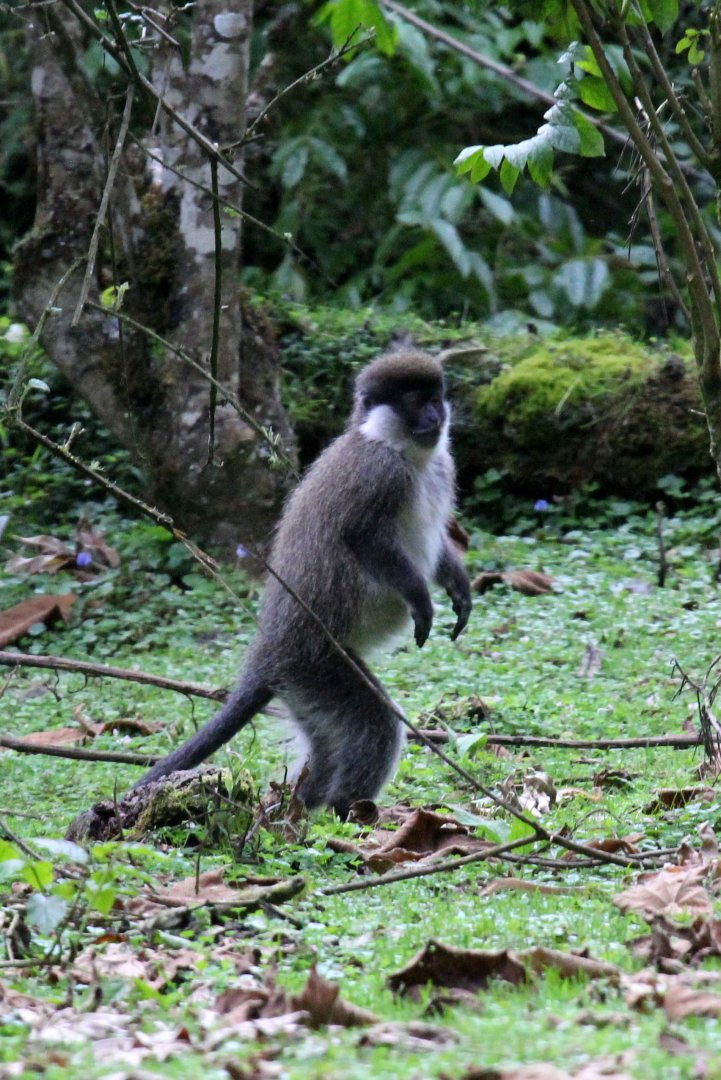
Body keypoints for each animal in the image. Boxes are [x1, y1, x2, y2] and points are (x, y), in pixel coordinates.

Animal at [133, 349, 472, 817]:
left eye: (435, 397)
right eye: (414, 401)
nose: (435, 416)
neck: (399, 449)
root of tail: (270, 650)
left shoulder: (442, 465)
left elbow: (437, 549)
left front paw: (458, 586)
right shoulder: (378, 474)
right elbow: (361, 538)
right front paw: (421, 598)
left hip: (304, 686)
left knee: (331, 744)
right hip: (315, 665)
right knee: (374, 724)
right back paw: (351, 811)